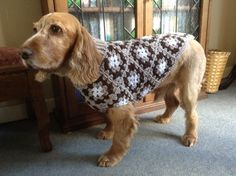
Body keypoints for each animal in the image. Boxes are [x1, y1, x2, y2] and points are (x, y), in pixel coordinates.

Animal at [19, 12, 206, 166]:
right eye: (34, 29)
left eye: (55, 29)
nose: (22, 53)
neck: (96, 60)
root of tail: (192, 38)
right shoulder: (109, 101)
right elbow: (108, 119)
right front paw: (108, 131)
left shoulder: (122, 108)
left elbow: (119, 139)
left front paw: (111, 156)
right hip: (168, 83)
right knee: (173, 102)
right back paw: (164, 117)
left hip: (188, 88)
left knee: (192, 114)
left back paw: (190, 136)